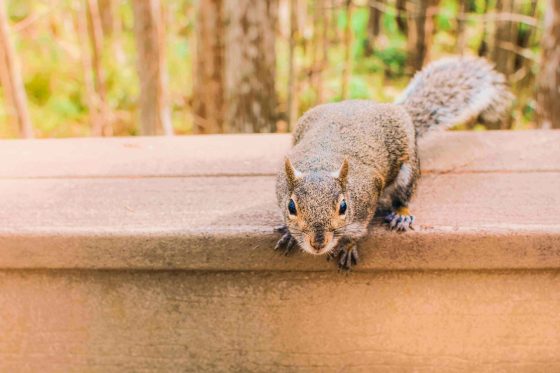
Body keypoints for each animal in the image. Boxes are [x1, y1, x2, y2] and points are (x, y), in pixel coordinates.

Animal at [274, 56, 516, 268]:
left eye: (343, 207)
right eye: (291, 207)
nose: (318, 243)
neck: (321, 164)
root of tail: (397, 109)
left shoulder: (368, 196)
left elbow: (359, 230)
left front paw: (349, 245)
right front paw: (289, 233)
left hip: (408, 168)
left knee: (404, 195)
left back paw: (402, 215)